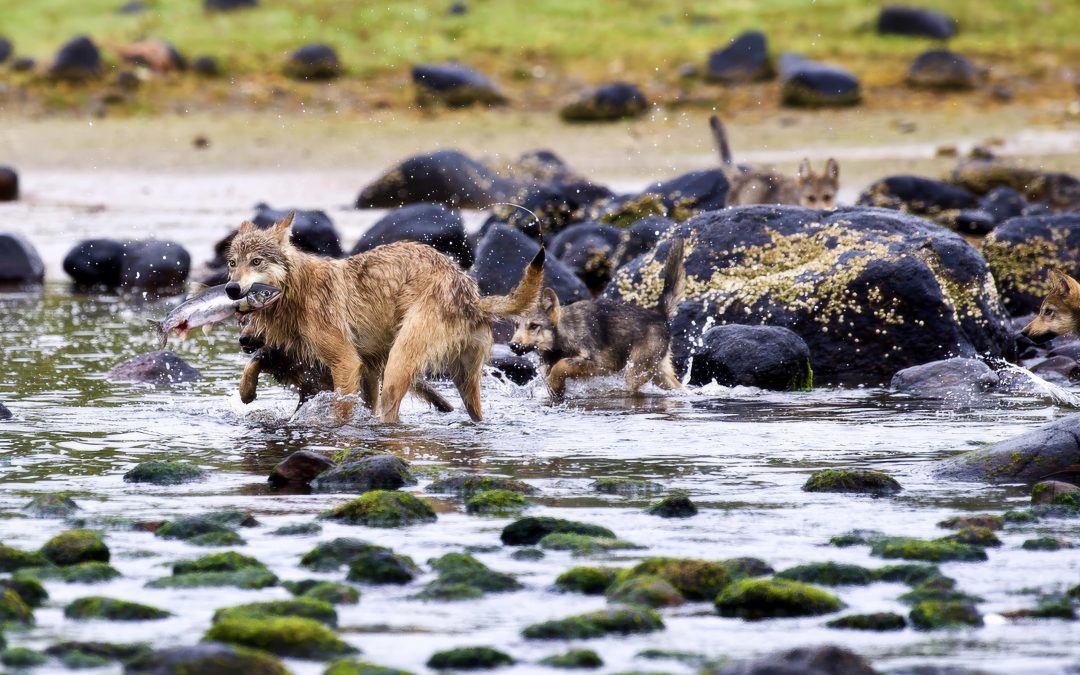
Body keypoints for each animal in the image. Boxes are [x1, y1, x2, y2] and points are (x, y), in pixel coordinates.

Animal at [226, 212, 543, 423]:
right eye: (232, 263)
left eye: (256, 261)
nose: (231, 289)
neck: (296, 290)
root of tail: (472, 297)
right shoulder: (363, 369)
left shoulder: (346, 363)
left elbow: (341, 411)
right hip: (463, 381)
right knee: (475, 414)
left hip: (396, 368)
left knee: (392, 416)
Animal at [509, 238, 685, 401]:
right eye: (516, 326)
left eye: (533, 326)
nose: (512, 345)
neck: (562, 338)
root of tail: (660, 315)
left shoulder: (600, 365)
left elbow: (562, 365)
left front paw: (555, 381)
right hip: (657, 371)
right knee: (679, 387)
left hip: (635, 372)